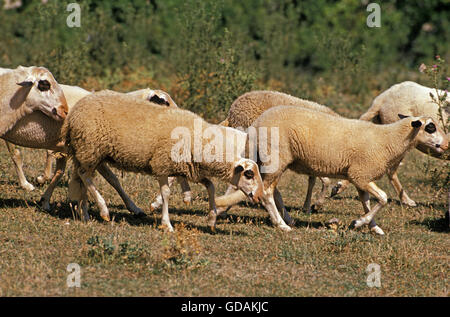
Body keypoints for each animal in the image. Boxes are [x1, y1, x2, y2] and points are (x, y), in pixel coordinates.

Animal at [61, 89, 262, 230]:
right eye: (249, 174)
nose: (259, 196)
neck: (200, 141)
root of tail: (76, 109)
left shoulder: (190, 169)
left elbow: (211, 187)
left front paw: (212, 219)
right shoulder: (162, 165)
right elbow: (166, 193)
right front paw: (167, 224)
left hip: (91, 152)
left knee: (85, 178)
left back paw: (87, 214)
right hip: (90, 147)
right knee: (84, 175)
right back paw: (103, 210)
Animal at [212, 105, 450, 233]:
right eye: (431, 127)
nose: (447, 144)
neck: (389, 140)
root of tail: (257, 123)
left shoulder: (361, 178)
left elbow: (367, 202)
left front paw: (372, 227)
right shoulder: (360, 174)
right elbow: (383, 198)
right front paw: (360, 222)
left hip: (267, 158)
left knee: (264, 188)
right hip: (276, 156)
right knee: (268, 192)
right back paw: (281, 224)